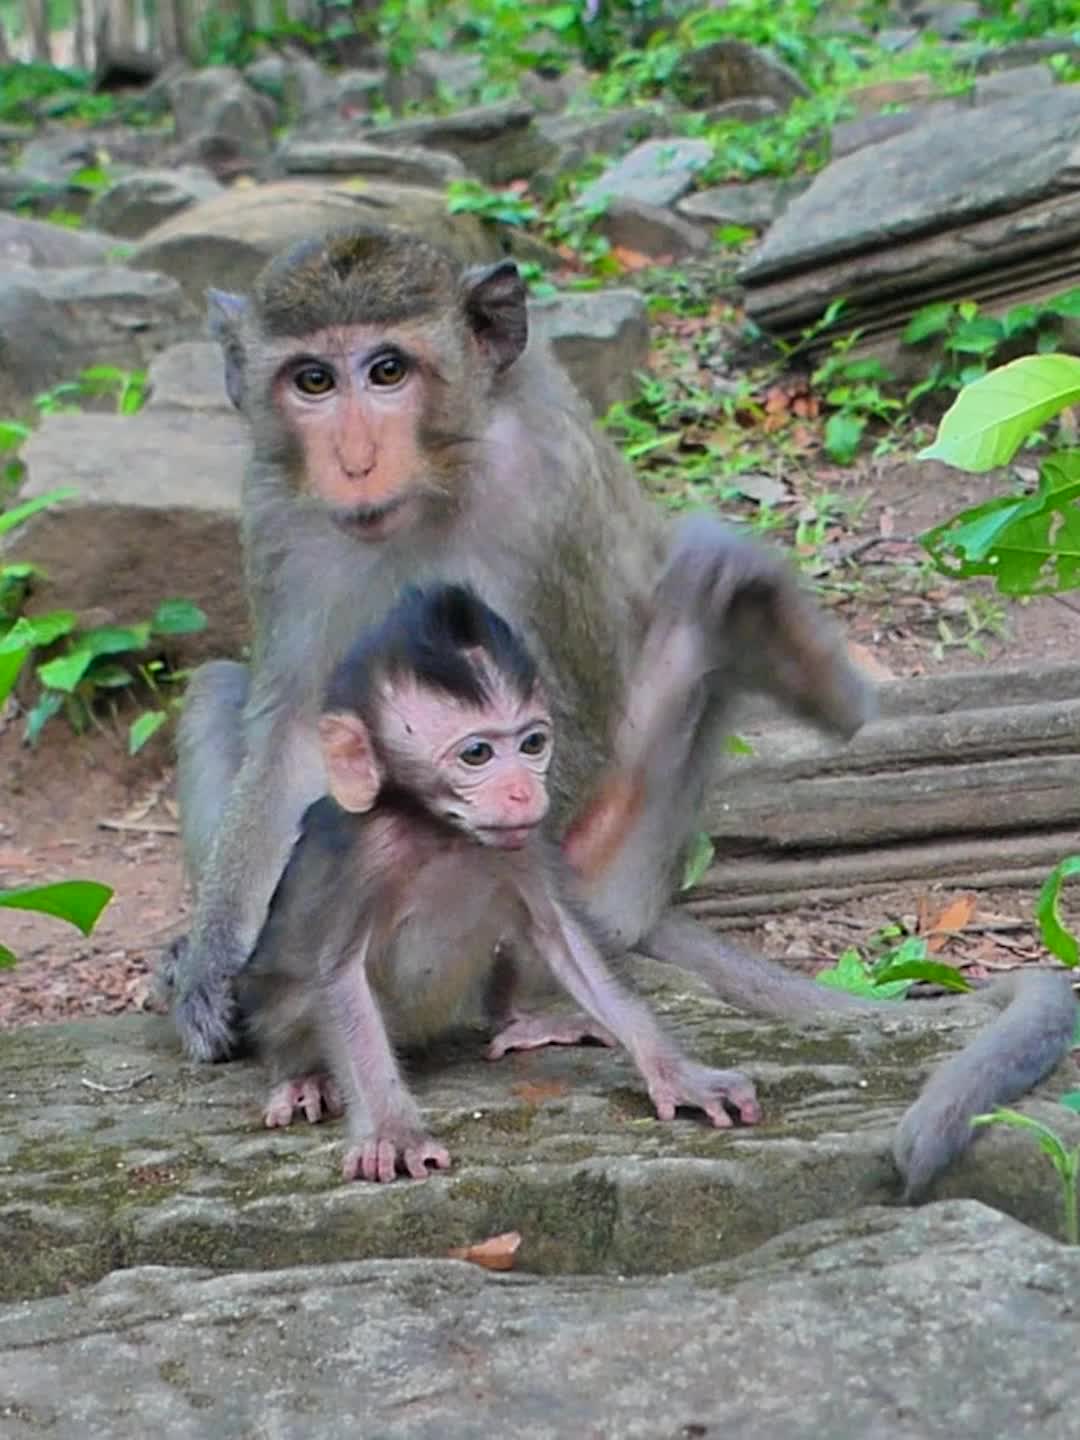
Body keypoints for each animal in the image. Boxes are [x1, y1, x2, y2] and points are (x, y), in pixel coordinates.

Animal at [240, 582, 759, 1182]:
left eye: (532, 744)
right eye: (478, 753)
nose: (523, 791)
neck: (441, 833)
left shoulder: (524, 846)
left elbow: (563, 936)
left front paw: (678, 1074)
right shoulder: (363, 858)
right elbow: (340, 973)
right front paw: (394, 1132)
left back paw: (522, 1022)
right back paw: (302, 1078)